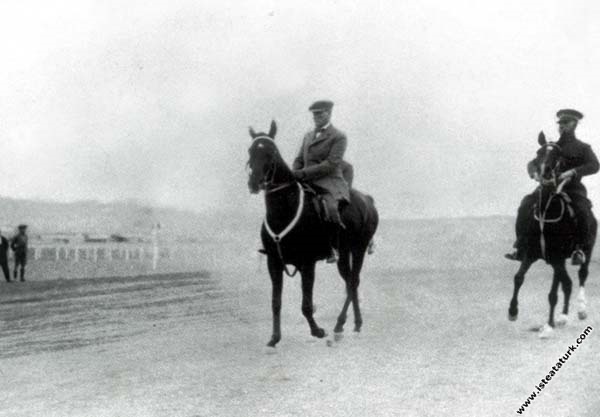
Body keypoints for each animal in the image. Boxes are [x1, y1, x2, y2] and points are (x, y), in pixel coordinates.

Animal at [246, 119, 378, 344]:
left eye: (271, 152)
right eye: (250, 150)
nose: (254, 183)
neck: (285, 211)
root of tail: (367, 199)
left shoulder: (307, 263)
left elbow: (306, 305)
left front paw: (317, 331)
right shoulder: (274, 262)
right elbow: (276, 302)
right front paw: (275, 337)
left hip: (358, 248)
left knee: (353, 281)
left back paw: (340, 324)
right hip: (343, 253)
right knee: (350, 281)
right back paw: (353, 323)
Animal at [508, 132, 596, 336]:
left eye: (558, 155)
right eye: (539, 153)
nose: (546, 173)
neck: (546, 212)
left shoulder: (556, 258)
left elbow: (563, 286)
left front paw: (550, 325)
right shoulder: (531, 254)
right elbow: (519, 278)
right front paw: (513, 311)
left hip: (586, 251)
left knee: (581, 275)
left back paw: (579, 310)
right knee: (562, 285)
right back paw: (560, 317)